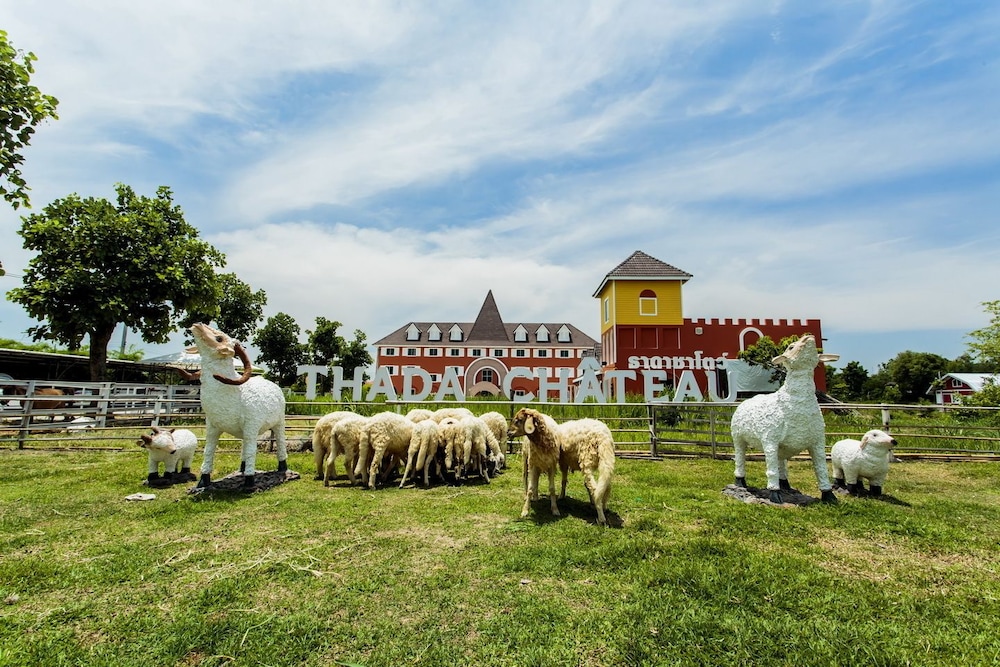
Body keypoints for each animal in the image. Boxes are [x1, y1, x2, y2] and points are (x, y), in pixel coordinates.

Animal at [189, 323, 287, 490]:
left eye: (219, 338)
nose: (198, 325)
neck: (234, 392)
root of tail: (274, 385)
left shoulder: (251, 426)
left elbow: (251, 452)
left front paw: (249, 482)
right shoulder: (212, 428)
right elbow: (208, 451)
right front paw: (202, 482)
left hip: (279, 423)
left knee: (280, 442)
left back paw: (282, 467)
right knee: (244, 447)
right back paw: (242, 468)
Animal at [730, 334, 839, 504]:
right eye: (791, 347)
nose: (808, 336)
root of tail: (745, 401)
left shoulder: (818, 442)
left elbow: (821, 469)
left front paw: (829, 495)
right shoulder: (769, 440)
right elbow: (771, 470)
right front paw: (774, 495)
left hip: (781, 447)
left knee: (781, 463)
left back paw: (786, 485)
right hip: (738, 438)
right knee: (740, 458)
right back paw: (740, 482)